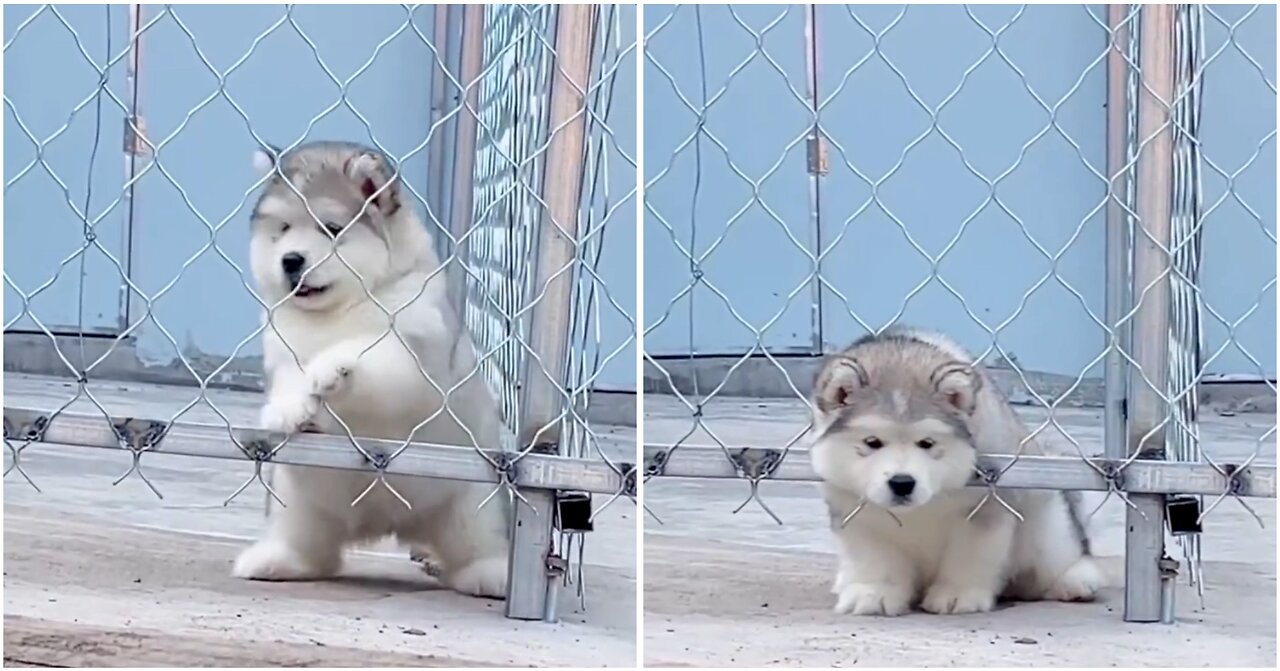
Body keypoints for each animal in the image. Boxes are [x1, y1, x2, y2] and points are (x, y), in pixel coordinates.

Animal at [232, 140, 512, 596]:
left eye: (331, 228)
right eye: (284, 229)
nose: (291, 260)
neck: (340, 310)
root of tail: (392, 524)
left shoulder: (413, 358)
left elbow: (364, 353)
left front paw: (329, 367)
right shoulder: (282, 347)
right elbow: (291, 376)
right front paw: (288, 408)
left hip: (472, 505)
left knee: (477, 545)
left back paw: (491, 572)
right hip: (298, 503)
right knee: (310, 547)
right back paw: (278, 560)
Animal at [814, 327, 1105, 617]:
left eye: (927, 442)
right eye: (872, 442)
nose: (902, 483)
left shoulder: (986, 505)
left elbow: (969, 555)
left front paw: (958, 594)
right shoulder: (855, 510)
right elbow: (873, 557)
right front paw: (873, 592)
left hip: (1045, 526)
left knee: (1055, 560)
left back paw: (1074, 580)